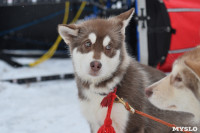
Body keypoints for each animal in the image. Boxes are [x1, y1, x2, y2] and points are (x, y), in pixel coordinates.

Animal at [58, 8, 191, 133]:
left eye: (108, 47)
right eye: (87, 44)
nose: (95, 64)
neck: (104, 91)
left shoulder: (132, 124)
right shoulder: (94, 123)